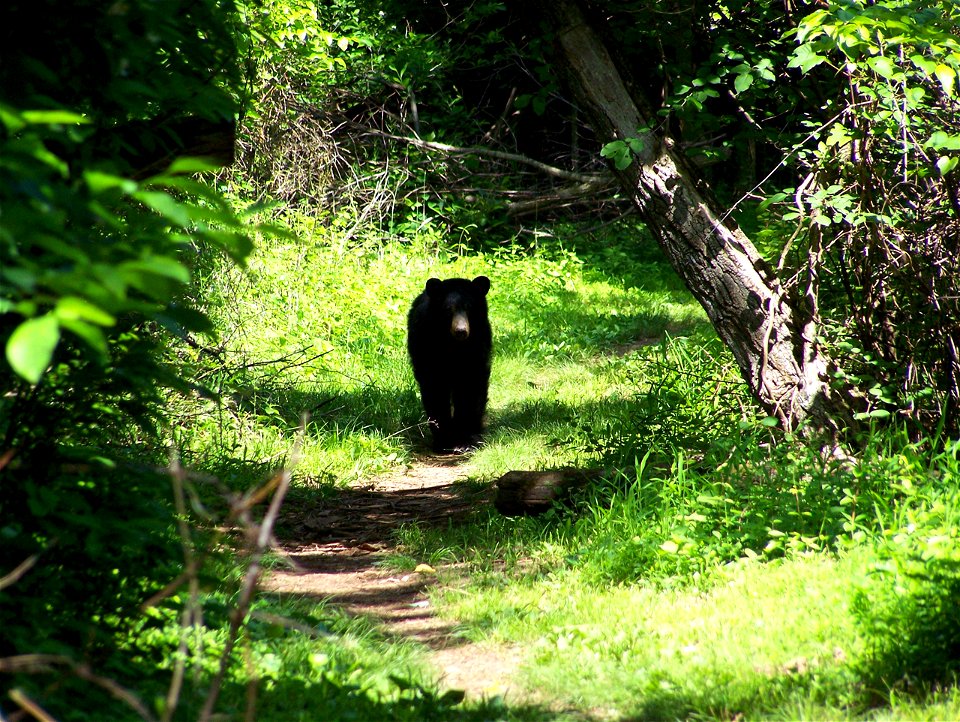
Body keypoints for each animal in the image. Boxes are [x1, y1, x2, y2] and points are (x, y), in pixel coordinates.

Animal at [406, 274, 492, 450]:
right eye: (447, 309)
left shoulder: (478, 345)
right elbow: (434, 388)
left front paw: (468, 437)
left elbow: (473, 385)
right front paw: (443, 438)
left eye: (469, 307)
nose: (461, 331)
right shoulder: (426, 345)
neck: (454, 346)